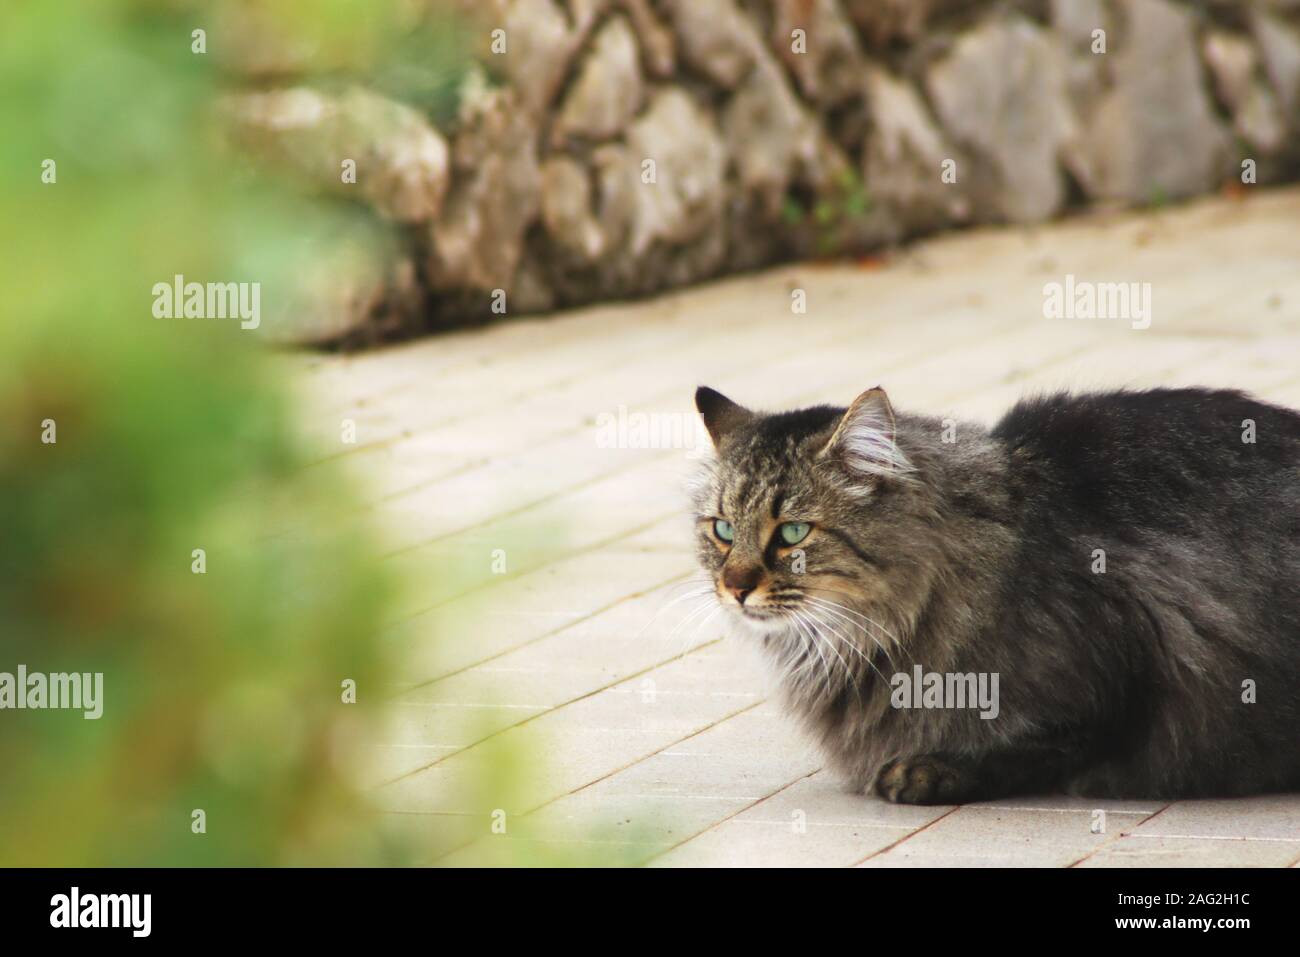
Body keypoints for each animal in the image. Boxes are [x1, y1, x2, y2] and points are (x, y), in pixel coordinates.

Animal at [696, 384, 1300, 806]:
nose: (735, 587)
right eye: (722, 530)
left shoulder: (1118, 684)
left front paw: (927, 770)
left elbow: (1033, 747)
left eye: (793, 533)